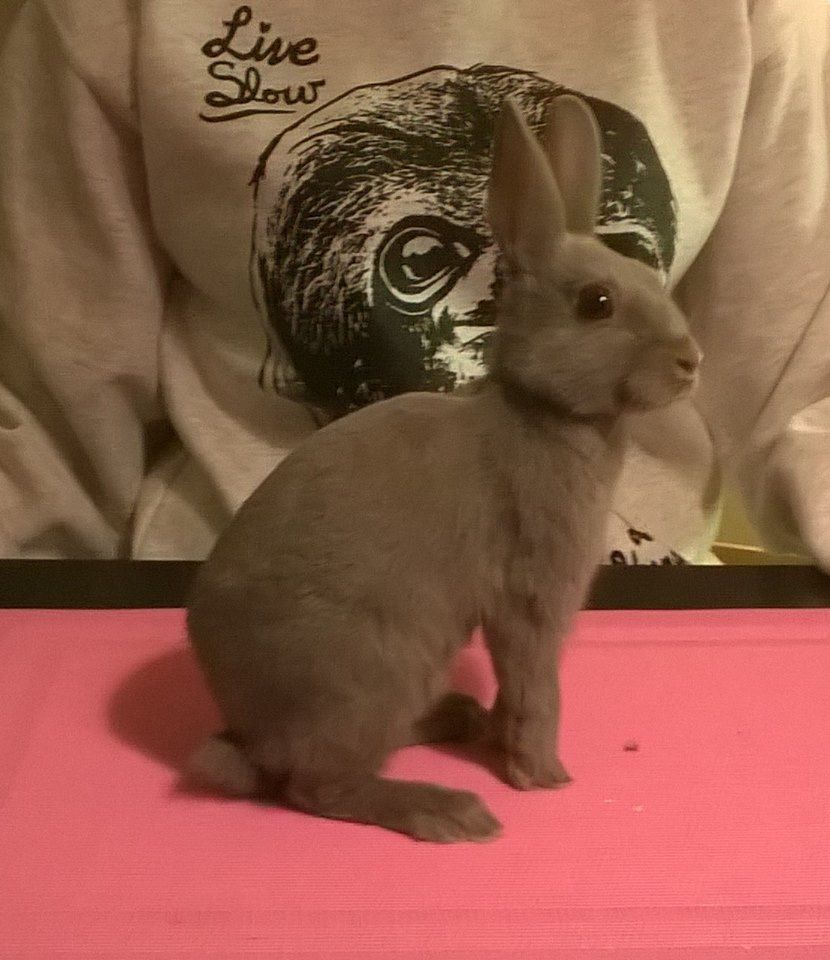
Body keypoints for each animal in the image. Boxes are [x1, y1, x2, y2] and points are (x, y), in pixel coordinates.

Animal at [185, 94, 701, 843]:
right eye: (597, 303)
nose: (692, 361)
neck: (539, 410)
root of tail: (249, 735)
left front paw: (507, 749)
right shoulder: (530, 598)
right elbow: (537, 686)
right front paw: (542, 774)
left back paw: (459, 720)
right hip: (371, 674)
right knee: (321, 787)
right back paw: (451, 811)